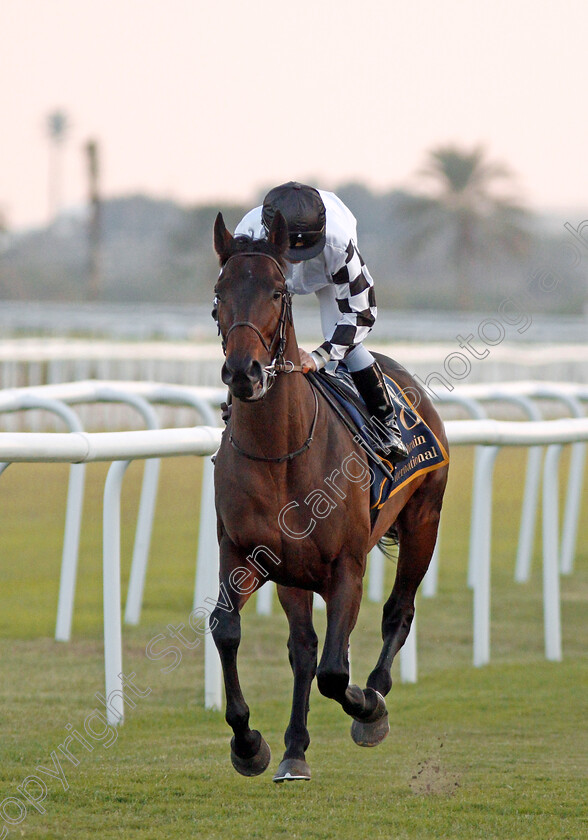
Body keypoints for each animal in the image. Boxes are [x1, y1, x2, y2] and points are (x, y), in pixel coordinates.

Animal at [209, 210, 448, 780]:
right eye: (219, 292)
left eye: (277, 292)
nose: (243, 373)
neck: (281, 453)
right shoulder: (243, 553)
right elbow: (227, 630)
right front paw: (248, 743)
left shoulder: (347, 567)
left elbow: (337, 673)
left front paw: (370, 709)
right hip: (293, 572)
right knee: (303, 649)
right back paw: (294, 750)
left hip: (424, 520)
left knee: (398, 611)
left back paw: (376, 696)